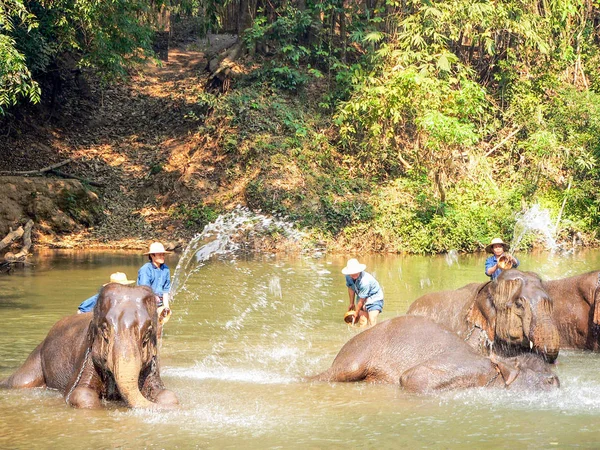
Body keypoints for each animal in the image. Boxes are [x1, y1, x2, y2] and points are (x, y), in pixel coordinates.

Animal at [0, 284, 178, 412]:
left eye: (148, 333)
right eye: (104, 329)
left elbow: (168, 394)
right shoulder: (88, 356)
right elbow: (80, 393)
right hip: (38, 355)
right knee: (22, 382)